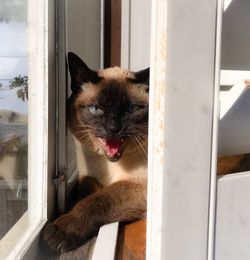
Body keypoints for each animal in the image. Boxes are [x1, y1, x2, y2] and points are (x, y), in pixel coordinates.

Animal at [42, 51, 149, 253]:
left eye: (131, 109)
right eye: (95, 109)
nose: (113, 128)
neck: (107, 163)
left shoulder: (140, 185)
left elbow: (97, 201)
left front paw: (60, 231)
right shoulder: (87, 175)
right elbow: (86, 193)